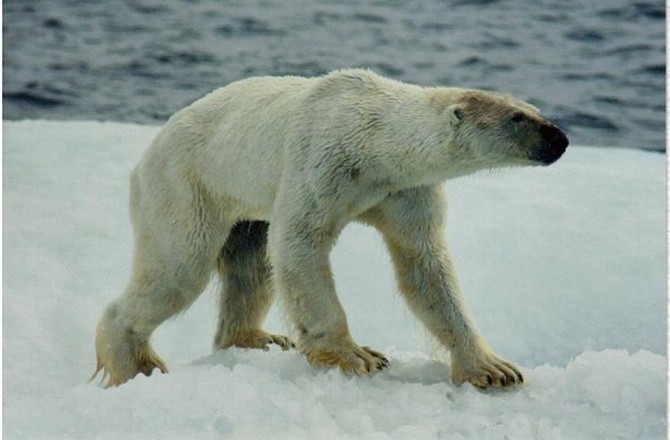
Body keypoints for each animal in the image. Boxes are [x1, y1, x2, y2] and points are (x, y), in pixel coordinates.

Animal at [92, 69, 568, 389]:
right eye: (517, 118)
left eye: (534, 109)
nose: (560, 139)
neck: (377, 137)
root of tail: (149, 149)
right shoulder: (325, 159)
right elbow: (299, 242)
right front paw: (357, 355)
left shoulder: (405, 190)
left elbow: (424, 264)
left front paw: (493, 368)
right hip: (187, 183)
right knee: (179, 266)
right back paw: (135, 362)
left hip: (242, 207)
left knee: (250, 265)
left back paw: (257, 337)